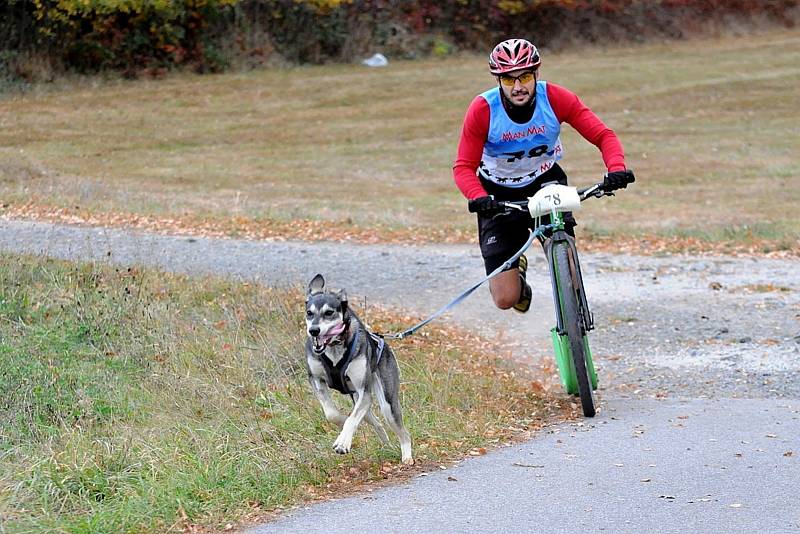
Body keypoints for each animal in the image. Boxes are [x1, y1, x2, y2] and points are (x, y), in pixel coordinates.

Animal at [304, 276, 416, 464]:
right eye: (309, 313)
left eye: (329, 312)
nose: (313, 330)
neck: (334, 349)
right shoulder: (316, 380)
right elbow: (332, 414)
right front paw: (341, 423)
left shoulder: (365, 390)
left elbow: (351, 420)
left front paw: (342, 443)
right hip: (360, 400)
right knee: (376, 422)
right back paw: (385, 443)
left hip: (387, 405)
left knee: (403, 432)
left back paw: (407, 456)